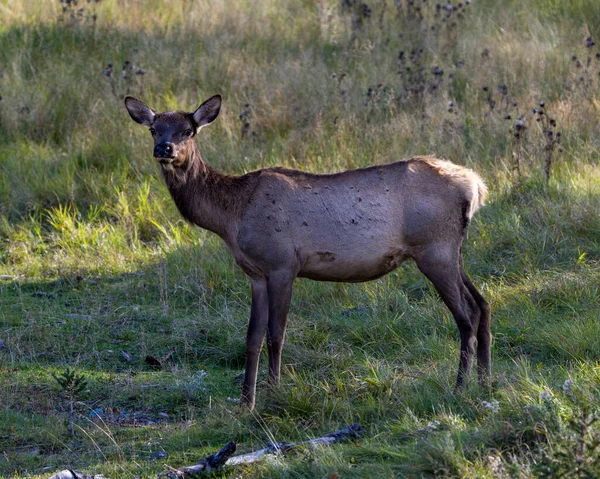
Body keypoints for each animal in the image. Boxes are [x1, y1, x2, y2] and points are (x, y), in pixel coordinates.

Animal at [124, 94, 490, 408]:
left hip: (434, 249)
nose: (164, 148)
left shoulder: (282, 263)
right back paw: (485, 382)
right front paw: (245, 402)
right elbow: (251, 337)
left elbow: (276, 334)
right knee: (482, 303)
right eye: (154, 128)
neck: (232, 216)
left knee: (465, 315)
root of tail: (474, 185)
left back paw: (460, 386)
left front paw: (272, 394)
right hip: (452, 250)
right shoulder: (255, 273)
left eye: (188, 130)